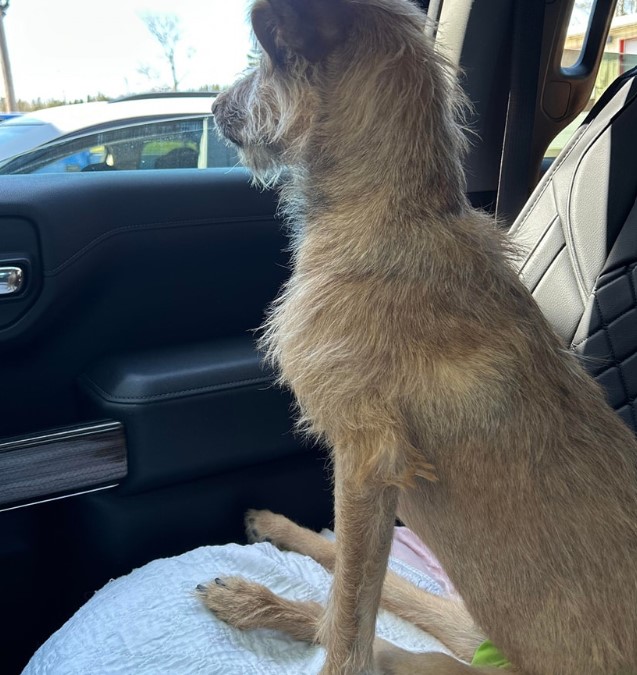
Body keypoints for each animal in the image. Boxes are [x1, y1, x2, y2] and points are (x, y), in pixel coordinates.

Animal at [201, 0, 636, 672]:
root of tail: (490, 651)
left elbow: (349, 618)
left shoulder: (366, 462)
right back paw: (268, 557)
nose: (214, 105)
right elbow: (346, 599)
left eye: (262, 61)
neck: (399, 211)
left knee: (362, 628)